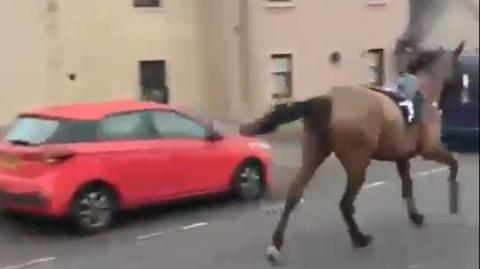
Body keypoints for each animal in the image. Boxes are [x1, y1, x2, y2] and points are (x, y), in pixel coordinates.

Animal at [240, 40, 464, 262]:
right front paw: (453, 195)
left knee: (295, 192)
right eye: (459, 65)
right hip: (357, 164)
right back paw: (359, 238)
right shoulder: (429, 149)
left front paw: (415, 216)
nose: (463, 92)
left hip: (315, 153)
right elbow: (453, 164)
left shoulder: (401, 157)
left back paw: (276, 244)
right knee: (345, 204)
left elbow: (407, 185)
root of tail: (329, 99)